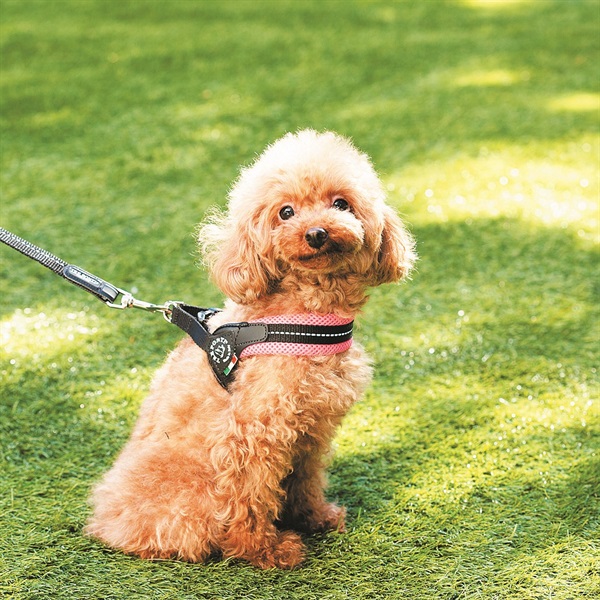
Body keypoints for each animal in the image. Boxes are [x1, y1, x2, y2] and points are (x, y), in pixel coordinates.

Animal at [86, 130, 414, 568]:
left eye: (341, 203)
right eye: (286, 212)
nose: (317, 233)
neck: (302, 315)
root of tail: (106, 522)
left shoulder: (310, 429)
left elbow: (304, 479)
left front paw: (314, 517)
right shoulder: (254, 430)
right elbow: (251, 493)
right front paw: (263, 549)